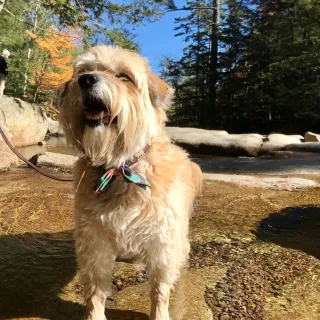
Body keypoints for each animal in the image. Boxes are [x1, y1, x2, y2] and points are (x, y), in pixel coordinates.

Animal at [58, 45, 201, 320]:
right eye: (83, 71)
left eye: (124, 76)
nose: (86, 80)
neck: (119, 168)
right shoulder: (94, 243)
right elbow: (95, 291)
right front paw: (95, 316)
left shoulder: (162, 242)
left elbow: (159, 289)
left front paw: (160, 313)